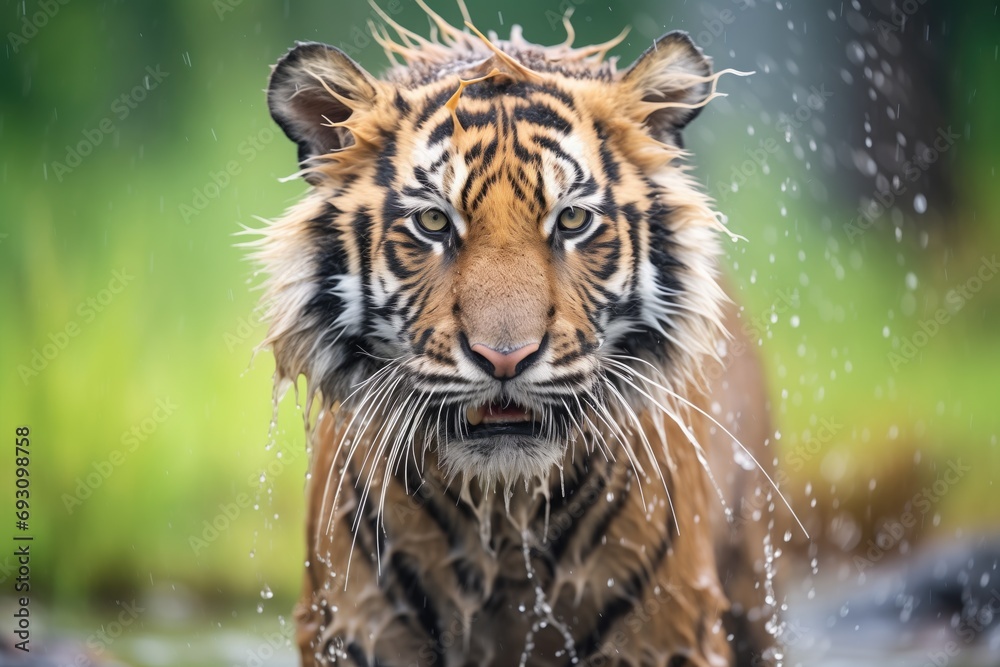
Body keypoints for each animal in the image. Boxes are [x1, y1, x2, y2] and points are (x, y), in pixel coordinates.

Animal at [255, 4, 785, 666]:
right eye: (434, 221)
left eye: (573, 219)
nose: (504, 359)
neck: (502, 517)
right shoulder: (356, 626)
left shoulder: (666, 632)